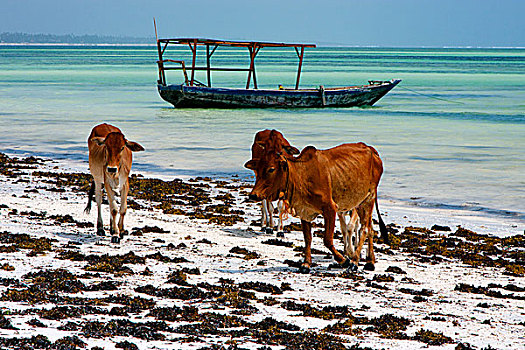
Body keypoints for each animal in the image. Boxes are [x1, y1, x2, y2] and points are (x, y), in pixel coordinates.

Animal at [245, 131, 384, 274]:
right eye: (258, 168)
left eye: (271, 169)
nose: (253, 195)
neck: (302, 175)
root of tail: (371, 149)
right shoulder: (304, 211)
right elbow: (308, 239)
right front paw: (306, 264)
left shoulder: (330, 209)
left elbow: (327, 240)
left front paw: (343, 260)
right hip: (360, 202)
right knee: (369, 228)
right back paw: (370, 261)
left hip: (369, 198)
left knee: (365, 229)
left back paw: (355, 262)